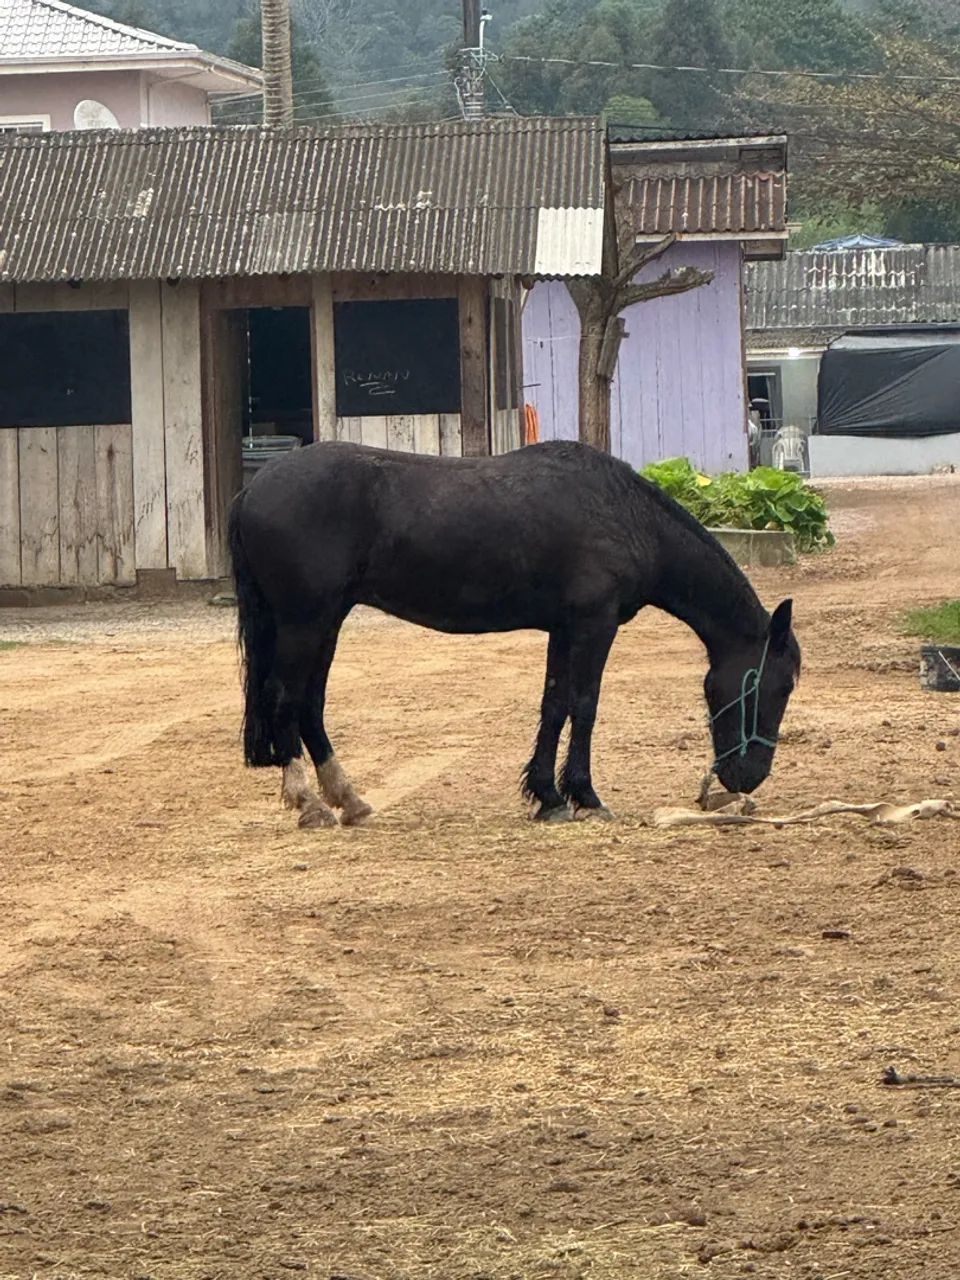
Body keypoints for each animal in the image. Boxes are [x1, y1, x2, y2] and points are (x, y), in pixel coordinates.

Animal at [228, 439, 801, 829]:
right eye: (781, 685)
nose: (748, 778)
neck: (623, 514)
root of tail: (254, 486)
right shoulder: (593, 625)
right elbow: (585, 705)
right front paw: (586, 797)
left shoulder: (564, 629)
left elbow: (554, 704)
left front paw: (547, 797)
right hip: (305, 622)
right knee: (285, 698)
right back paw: (309, 804)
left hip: (326, 622)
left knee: (310, 704)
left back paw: (348, 799)